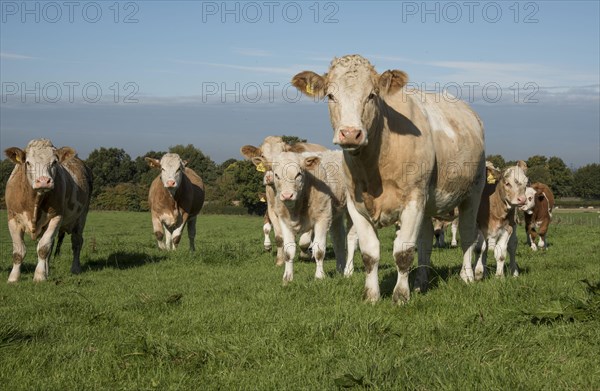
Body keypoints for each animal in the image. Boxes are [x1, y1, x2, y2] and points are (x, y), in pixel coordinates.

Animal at [4, 139, 92, 284]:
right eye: (28, 162)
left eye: (54, 162)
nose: (44, 181)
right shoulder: (13, 218)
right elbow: (18, 251)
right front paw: (13, 278)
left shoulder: (56, 217)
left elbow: (43, 248)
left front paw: (39, 276)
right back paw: (48, 271)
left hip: (81, 217)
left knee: (77, 242)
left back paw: (75, 268)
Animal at [240, 136, 328, 264]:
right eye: (262, 155)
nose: (270, 177)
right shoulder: (272, 210)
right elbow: (279, 236)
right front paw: (280, 260)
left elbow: (304, 240)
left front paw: (304, 255)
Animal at [252, 150, 356, 282]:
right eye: (276, 175)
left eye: (298, 174)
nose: (287, 195)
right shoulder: (284, 220)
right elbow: (288, 251)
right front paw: (287, 278)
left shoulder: (322, 218)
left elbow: (319, 250)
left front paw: (319, 276)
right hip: (335, 213)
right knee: (338, 240)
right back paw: (339, 269)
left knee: (351, 239)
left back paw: (348, 271)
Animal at [292, 55, 486, 304]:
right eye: (331, 96)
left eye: (372, 95)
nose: (350, 133)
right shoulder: (356, 205)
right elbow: (370, 254)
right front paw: (371, 296)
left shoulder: (413, 199)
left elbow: (403, 252)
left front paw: (400, 296)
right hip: (428, 201)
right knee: (425, 241)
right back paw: (420, 283)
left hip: (473, 191)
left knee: (468, 234)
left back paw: (467, 276)